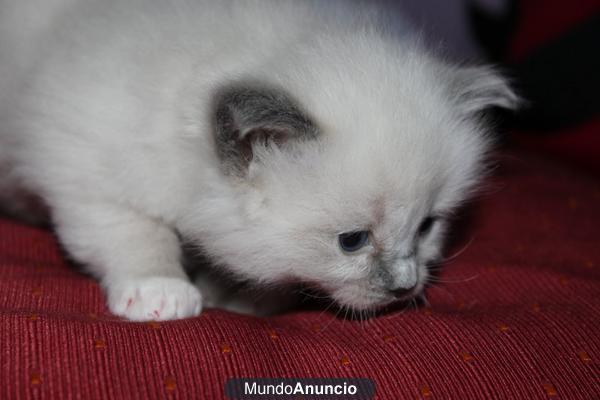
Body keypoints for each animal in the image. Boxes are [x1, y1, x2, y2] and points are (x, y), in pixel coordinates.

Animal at [0, 0, 516, 320]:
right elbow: (139, 234)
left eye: (427, 227)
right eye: (351, 242)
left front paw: (236, 296)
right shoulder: (85, 179)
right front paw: (161, 291)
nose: (405, 287)